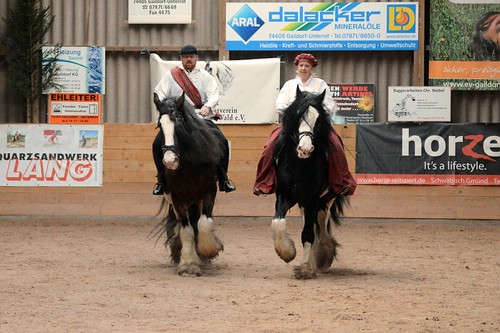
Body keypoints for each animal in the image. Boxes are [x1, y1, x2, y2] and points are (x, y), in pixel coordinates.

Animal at [151, 92, 224, 274]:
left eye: (178, 121)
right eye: (159, 125)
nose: (170, 161)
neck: (191, 163)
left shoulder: (209, 192)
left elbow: (204, 223)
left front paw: (209, 250)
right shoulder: (177, 197)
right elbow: (186, 229)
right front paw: (188, 263)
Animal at [270, 85, 348, 278]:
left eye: (318, 119)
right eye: (297, 115)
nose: (305, 149)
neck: (300, 165)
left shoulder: (313, 198)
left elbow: (308, 233)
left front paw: (305, 267)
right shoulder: (283, 195)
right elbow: (278, 223)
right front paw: (287, 252)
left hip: (327, 198)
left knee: (320, 221)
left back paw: (322, 255)